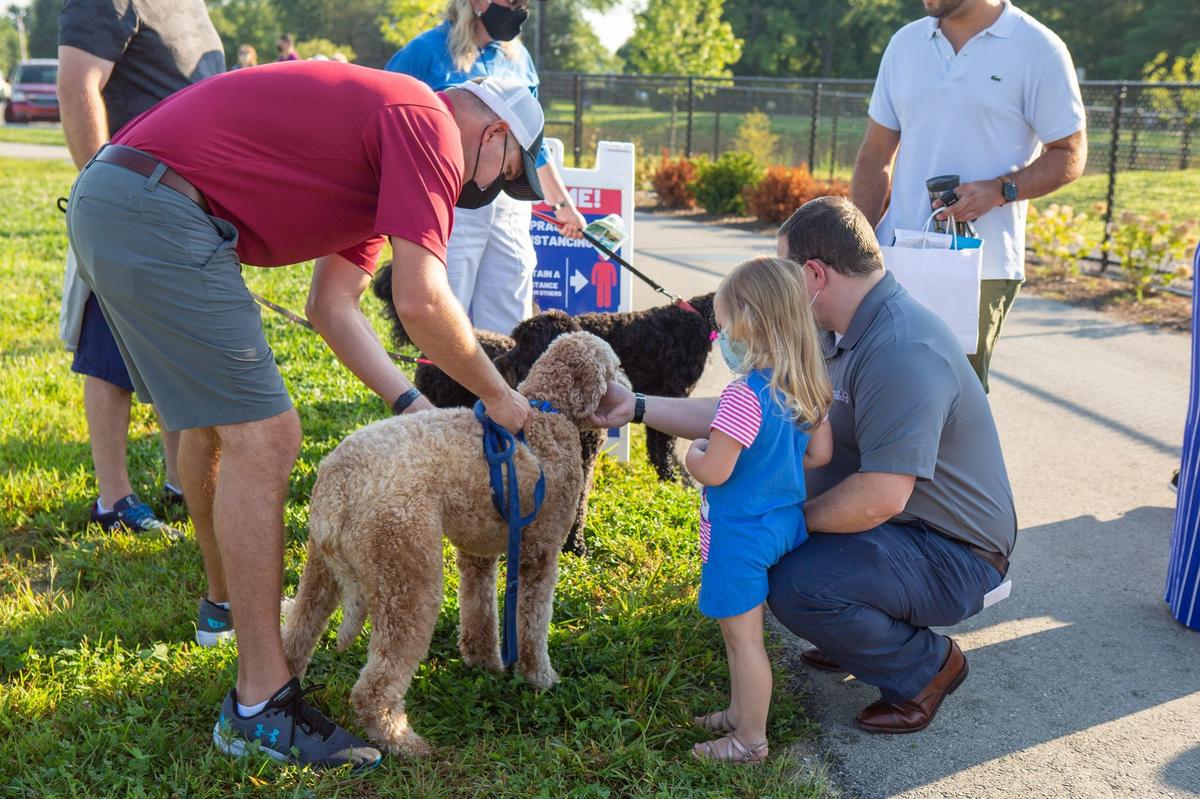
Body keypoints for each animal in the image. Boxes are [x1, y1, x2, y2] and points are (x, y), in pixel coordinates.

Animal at [277, 328, 624, 753]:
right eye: (615, 367)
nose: (629, 391)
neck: (547, 407)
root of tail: (338, 484)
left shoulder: (476, 552)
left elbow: (479, 611)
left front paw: (483, 663)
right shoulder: (539, 555)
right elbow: (532, 625)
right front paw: (539, 678)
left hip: (320, 571)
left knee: (296, 635)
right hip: (407, 577)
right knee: (373, 687)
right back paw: (401, 741)